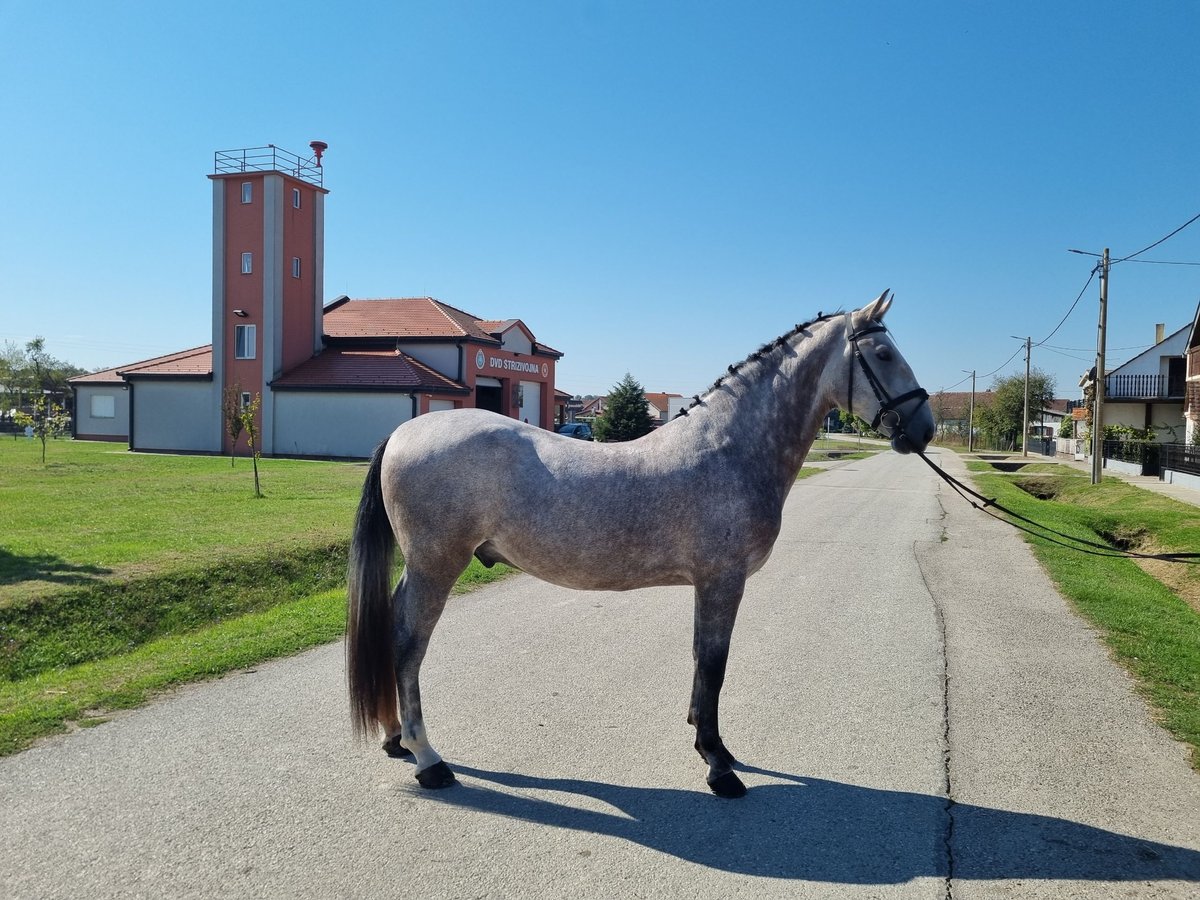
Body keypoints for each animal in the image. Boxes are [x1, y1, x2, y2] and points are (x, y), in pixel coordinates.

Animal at [348, 289, 936, 796]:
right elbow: (713, 665)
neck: (730, 448)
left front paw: (709, 744)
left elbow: (702, 662)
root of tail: (403, 432)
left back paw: (397, 739)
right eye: (883, 353)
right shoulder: (722, 581)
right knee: (409, 645)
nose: (925, 429)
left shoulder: (710, 584)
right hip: (436, 565)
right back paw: (429, 760)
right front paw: (719, 766)